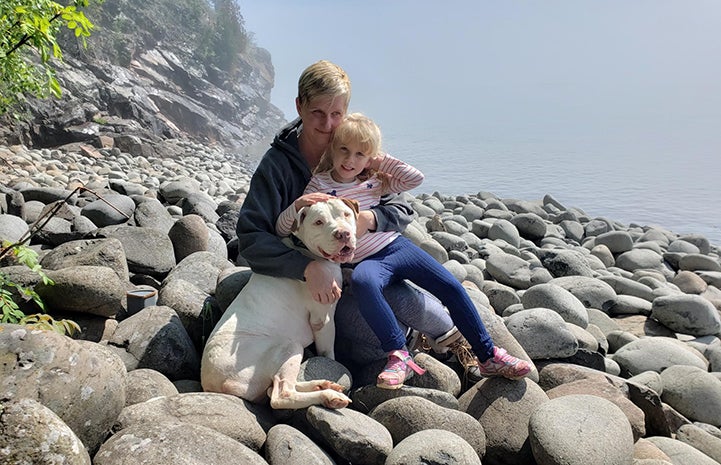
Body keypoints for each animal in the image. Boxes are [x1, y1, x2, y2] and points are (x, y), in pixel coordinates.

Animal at [200, 198, 358, 408]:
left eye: (346, 214)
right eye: (318, 222)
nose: (343, 234)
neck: (303, 248)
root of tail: (211, 384)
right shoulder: (323, 319)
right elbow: (327, 353)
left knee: (276, 387)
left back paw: (320, 385)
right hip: (288, 346)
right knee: (281, 395)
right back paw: (328, 396)